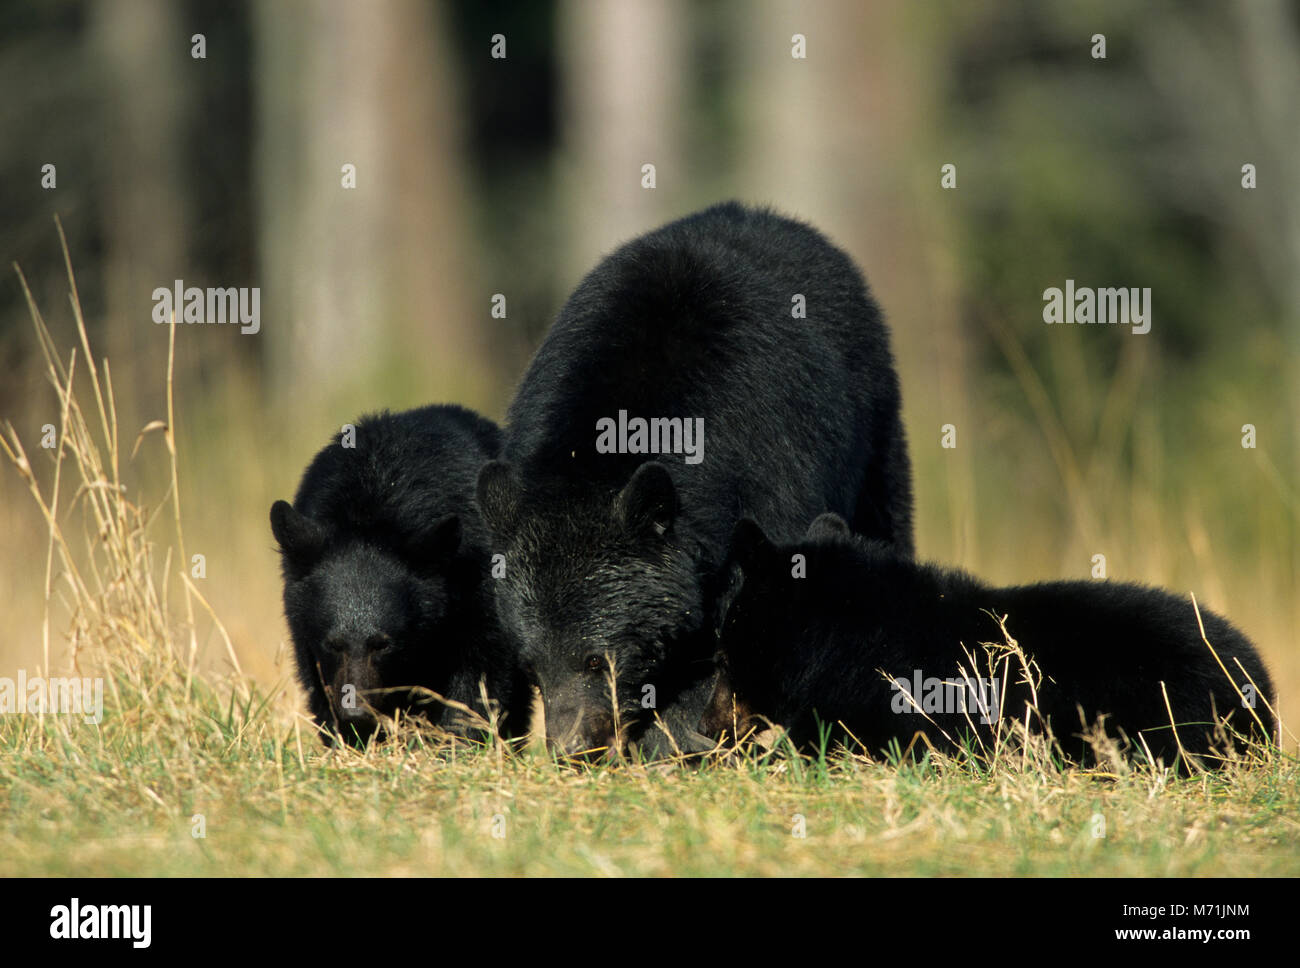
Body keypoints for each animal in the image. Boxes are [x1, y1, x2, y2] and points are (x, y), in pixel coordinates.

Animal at [269, 402, 527, 743]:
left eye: (383, 644)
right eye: (333, 643)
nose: (356, 712)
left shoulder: (477, 588)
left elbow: (479, 676)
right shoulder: (302, 624)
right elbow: (318, 684)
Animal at [478, 201, 915, 753]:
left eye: (596, 659)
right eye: (532, 663)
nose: (572, 748)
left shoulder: (766, 470)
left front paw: (677, 741)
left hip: (876, 429)